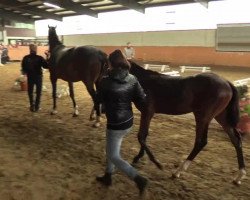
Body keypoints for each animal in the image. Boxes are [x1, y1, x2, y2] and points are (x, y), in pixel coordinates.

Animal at [109, 49, 246, 185]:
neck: (143, 81)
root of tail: (227, 83)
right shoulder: (146, 113)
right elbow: (144, 135)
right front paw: (138, 157)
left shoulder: (147, 112)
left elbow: (141, 136)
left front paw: (156, 163)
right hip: (220, 116)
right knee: (235, 139)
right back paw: (239, 176)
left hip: (203, 116)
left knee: (201, 142)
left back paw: (178, 171)